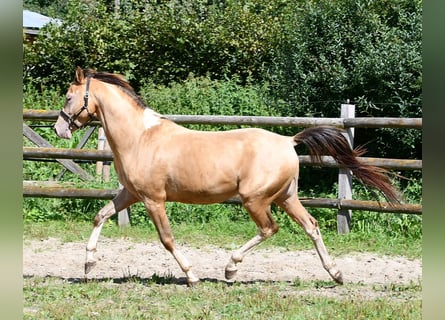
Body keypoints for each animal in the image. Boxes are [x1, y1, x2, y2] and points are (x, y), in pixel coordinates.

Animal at [53, 67, 398, 284]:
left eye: (69, 97)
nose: (59, 129)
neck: (140, 137)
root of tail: (289, 141)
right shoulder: (131, 194)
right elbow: (100, 215)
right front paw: (88, 266)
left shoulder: (153, 199)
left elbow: (167, 239)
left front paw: (191, 275)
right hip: (286, 197)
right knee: (311, 226)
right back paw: (335, 274)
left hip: (255, 199)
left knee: (270, 229)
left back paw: (231, 269)